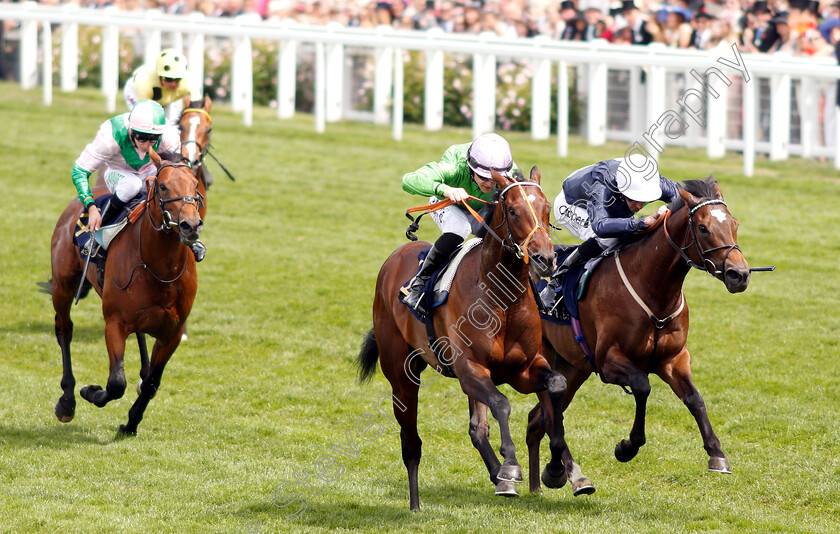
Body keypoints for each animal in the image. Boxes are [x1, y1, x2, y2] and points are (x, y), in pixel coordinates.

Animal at [49, 150, 203, 436]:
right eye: (163, 186)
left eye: (195, 185)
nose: (191, 225)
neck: (159, 268)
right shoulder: (115, 322)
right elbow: (116, 382)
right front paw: (90, 392)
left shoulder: (173, 333)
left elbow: (153, 382)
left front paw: (131, 422)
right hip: (62, 285)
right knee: (64, 330)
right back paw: (67, 401)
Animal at [358, 168, 576, 510]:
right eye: (513, 210)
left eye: (545, 209)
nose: (545, 258)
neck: (502, 299)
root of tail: (396, 257)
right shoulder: (469, 369)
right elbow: (501, 403)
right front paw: (511, 466)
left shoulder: (524, 368)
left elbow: (555, 386)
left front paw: (555, 470)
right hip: (401, 377)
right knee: (411, 441)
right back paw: (416, 504)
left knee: (477, 429)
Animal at [524, 177, 756, 494]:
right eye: (703, 228)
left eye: (735, 223)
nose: (739, 274)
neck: (653, 289)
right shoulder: (608, 361)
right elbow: (642, 387)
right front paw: (626, 447)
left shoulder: (674, 359)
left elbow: (695, 399)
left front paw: (717, 454)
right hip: (545, 360)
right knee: (548, 418)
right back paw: (566, 474)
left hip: (572, 368)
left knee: (539, 419)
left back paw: (547, 479)